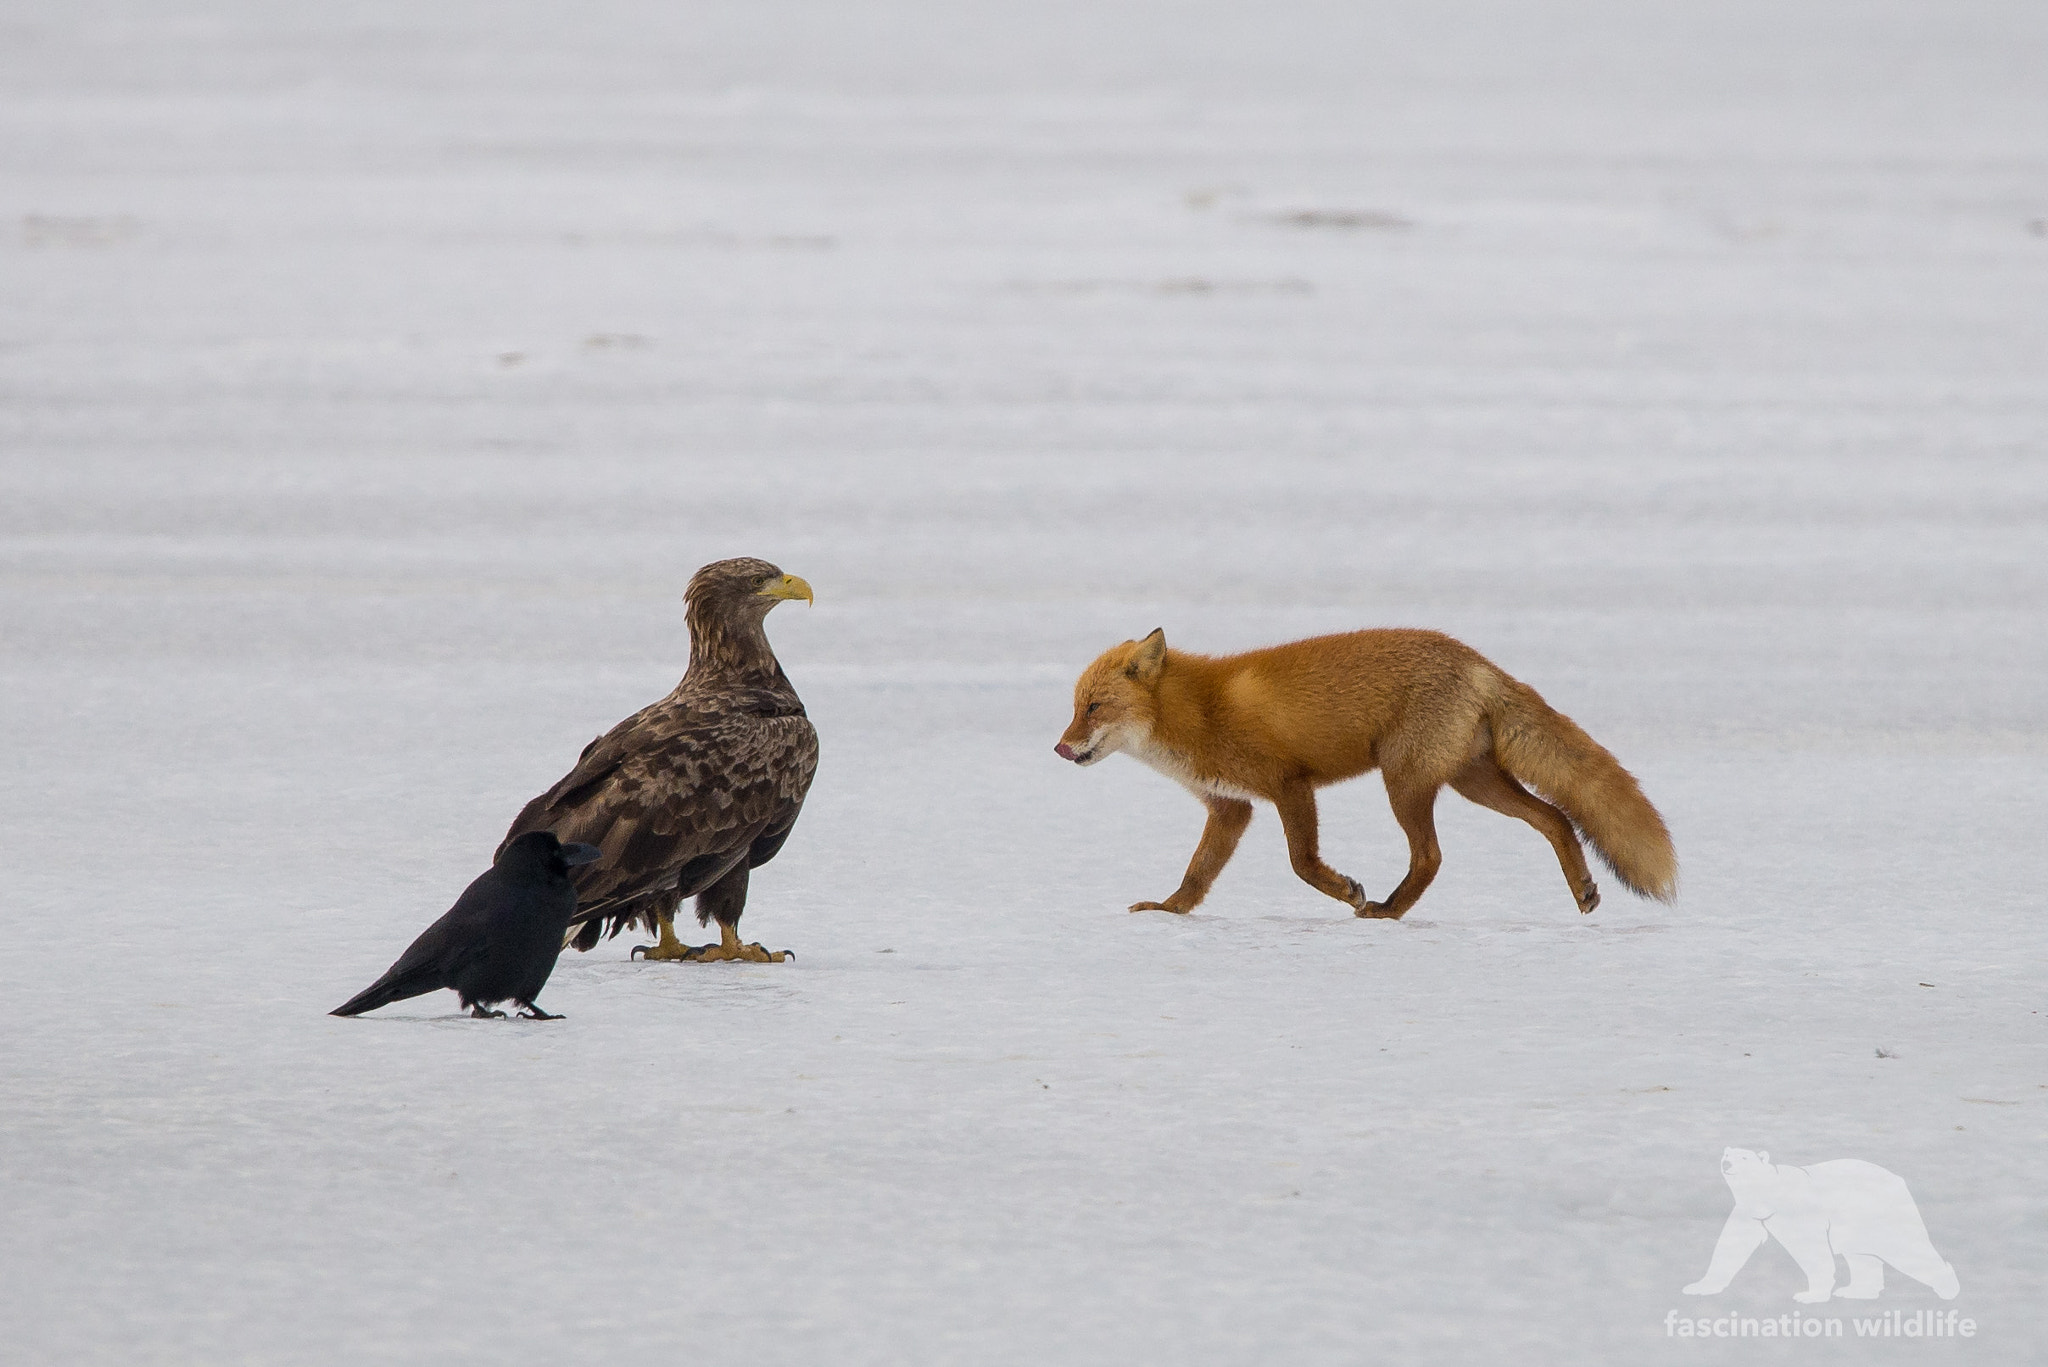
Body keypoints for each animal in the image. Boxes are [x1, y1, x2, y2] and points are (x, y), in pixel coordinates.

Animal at [1055, 627, 1676, 919]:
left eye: (1095, 707)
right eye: (1076, 705)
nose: (1059, 749)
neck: (1199, 711)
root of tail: (1477, 660)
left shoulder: (1289, 785)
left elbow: (1302, 863)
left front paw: (1347, 891)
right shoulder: (1232, 806)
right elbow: (1197, 874)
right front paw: (1168, 912)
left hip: (1403, 781)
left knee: (1432, 856)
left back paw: (1387, 910)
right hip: (1471, 782)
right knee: (1553, 819)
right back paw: (1583, 887)